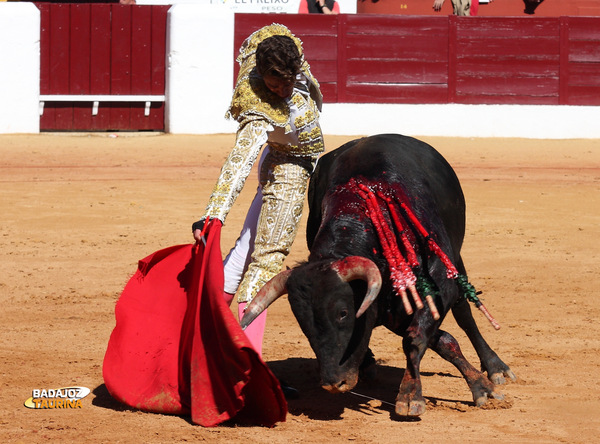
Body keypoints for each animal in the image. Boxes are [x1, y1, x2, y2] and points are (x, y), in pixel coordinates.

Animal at [241, 134, 512, 416]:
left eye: (343, 313)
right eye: (303, 322)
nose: (333, 383)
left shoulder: (438, 285)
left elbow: (417, 337)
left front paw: (411, 395)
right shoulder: (388, 307)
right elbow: (438, 340)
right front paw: (477, 384)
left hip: (455, 260)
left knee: (464, 312)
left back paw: (495, 366)